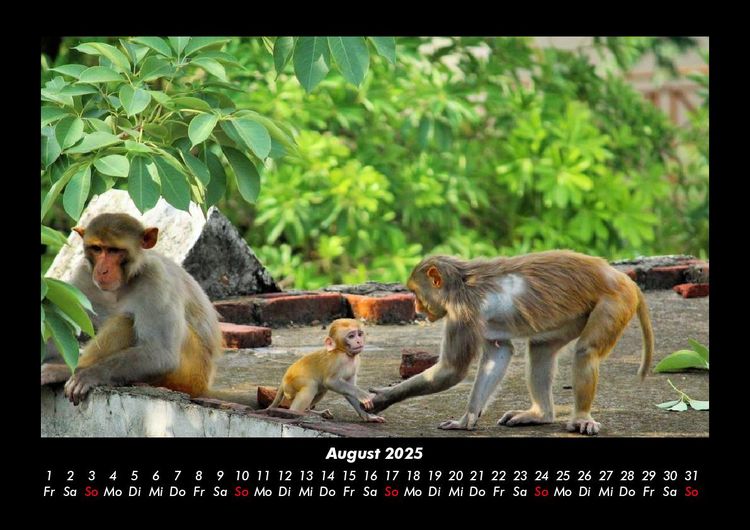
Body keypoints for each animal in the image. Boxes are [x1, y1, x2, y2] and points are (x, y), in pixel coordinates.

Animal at [40, 212, 242, 406]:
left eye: (114, 251)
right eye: (97, 249)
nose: (103, 270)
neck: (123, 283)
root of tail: (204, 386)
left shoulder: (155, 278)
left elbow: (161, 354)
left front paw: (88, 374)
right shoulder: (83, 275)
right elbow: (56, 322)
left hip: (189, 374)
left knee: (126, 321)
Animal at [369, 250, 654, 435]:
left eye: (417, 293)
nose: (417, 307)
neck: (461, 282)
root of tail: (620, 277)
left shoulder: (462, 312)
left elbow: (452, 370)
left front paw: (382, 398)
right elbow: (499, 354)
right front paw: (467, 419)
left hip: (614, 301)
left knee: (586, 351)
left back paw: (581, 417)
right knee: (540, 351)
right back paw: (540, 415)